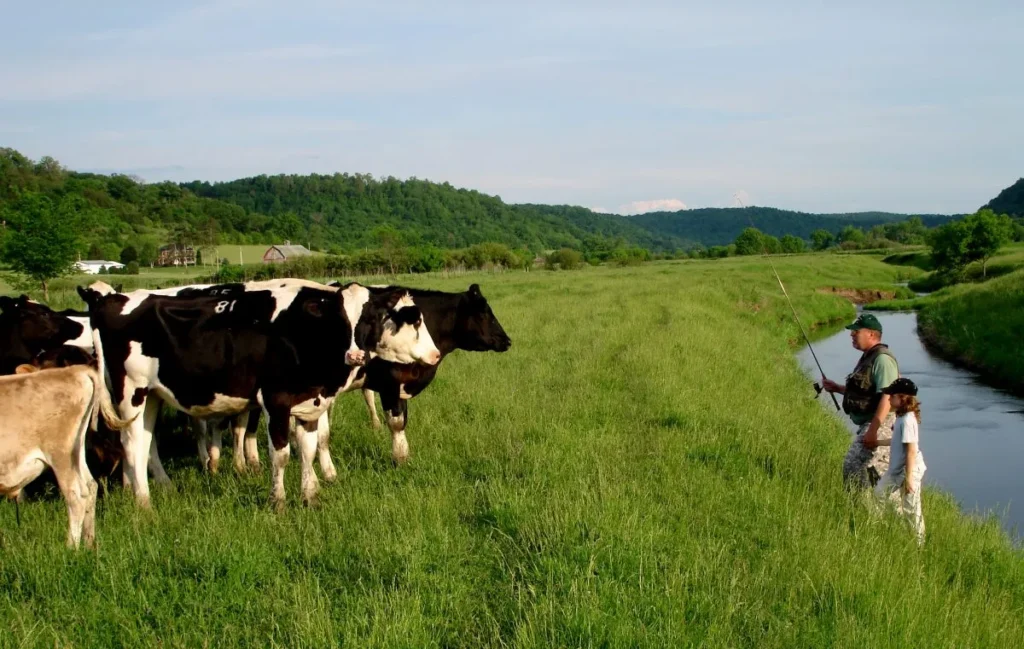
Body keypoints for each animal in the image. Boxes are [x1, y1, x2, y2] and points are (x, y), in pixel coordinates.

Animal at [0, 364, 134, 544]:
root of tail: (73, 370)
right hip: (76, 451)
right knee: (90, 486)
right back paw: (89, 543)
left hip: (61, 455)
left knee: (76, 496)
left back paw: (70, 546)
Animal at [74, 280, 436, 507]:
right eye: (338, 318)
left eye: (374, 318)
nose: (356, 355)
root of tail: (113, 300)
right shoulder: (276, 400)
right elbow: (282, 454)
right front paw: (278, 501)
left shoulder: (311, 402)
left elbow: (308, 448)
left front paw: (310, 495)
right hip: (130, 393)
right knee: (131, 444)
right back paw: (143, 503)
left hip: (152, 396)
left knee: (145, 443)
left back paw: (158, 490)